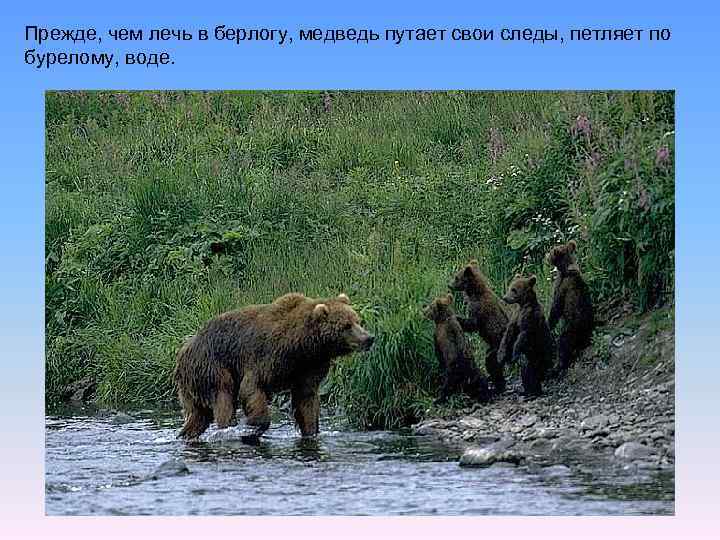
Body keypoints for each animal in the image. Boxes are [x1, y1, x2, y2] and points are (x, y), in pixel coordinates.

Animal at [174, 292, 374, 440]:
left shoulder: (309, 366)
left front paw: (311, 430)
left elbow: (306, 400)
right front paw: (254, 425)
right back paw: (227, 428)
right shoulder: (267, 356)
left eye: (357, 320)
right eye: (346, 326)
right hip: (212, 366)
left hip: (194, 383)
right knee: (223, 396)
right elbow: (252, 387)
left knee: (199, 415)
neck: (302, 345)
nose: (368, 338)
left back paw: (186, 434)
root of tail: (184, 349)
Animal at [448, 260, 509, 394]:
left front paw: (458, 318)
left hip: (498, 347)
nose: (449, 285)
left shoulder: (478, 308)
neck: (475, 292)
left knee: (492, 362)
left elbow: (473, 324)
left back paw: (498, 385)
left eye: (456, 277)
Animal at [545, 240, 594, 376]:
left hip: (571, 329)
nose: (546, 256)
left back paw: (556, 367)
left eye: (551, 251)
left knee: (563, 343)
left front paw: (548, 325)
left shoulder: (562, 286)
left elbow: (556, 308)